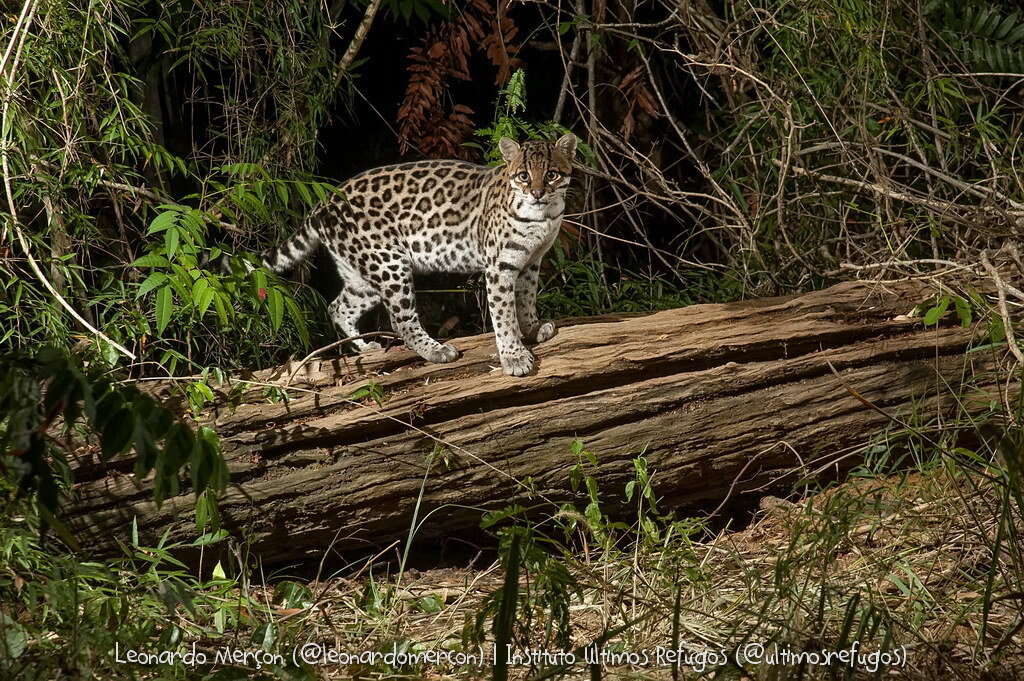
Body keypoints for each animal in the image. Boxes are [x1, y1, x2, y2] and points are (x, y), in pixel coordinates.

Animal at [260, 133, 577, 376]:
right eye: (524, 176)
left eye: (551, 174)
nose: (537, 193)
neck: (543, 216)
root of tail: (323, 202)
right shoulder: (500, 267)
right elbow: (504, 314)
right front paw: (514, 356)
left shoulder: (531, 262)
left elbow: (526, 299)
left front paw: (533, 328)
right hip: (389, 263)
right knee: (401, 321)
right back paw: (437, 351)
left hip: (362, 275)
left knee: (338, 307)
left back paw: (364, 347)